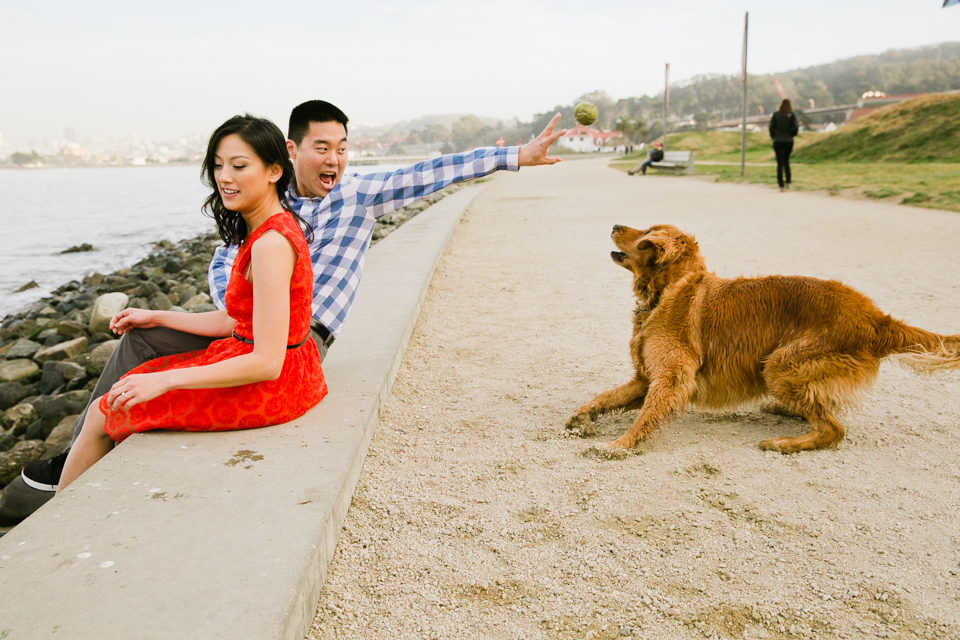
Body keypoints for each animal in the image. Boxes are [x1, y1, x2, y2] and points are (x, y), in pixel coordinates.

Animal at [568, 222, 960, 452]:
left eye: (646, 234)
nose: (615, 225)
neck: (667, 290)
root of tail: (876, 318)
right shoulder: (645, 378)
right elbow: (605, 397)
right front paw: (582, 418)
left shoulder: (670, 378)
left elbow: (646, 415)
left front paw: (620, 444)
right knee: (824, 407)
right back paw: (784, 411)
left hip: (779, 364)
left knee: (833, 429)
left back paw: (785, 442)